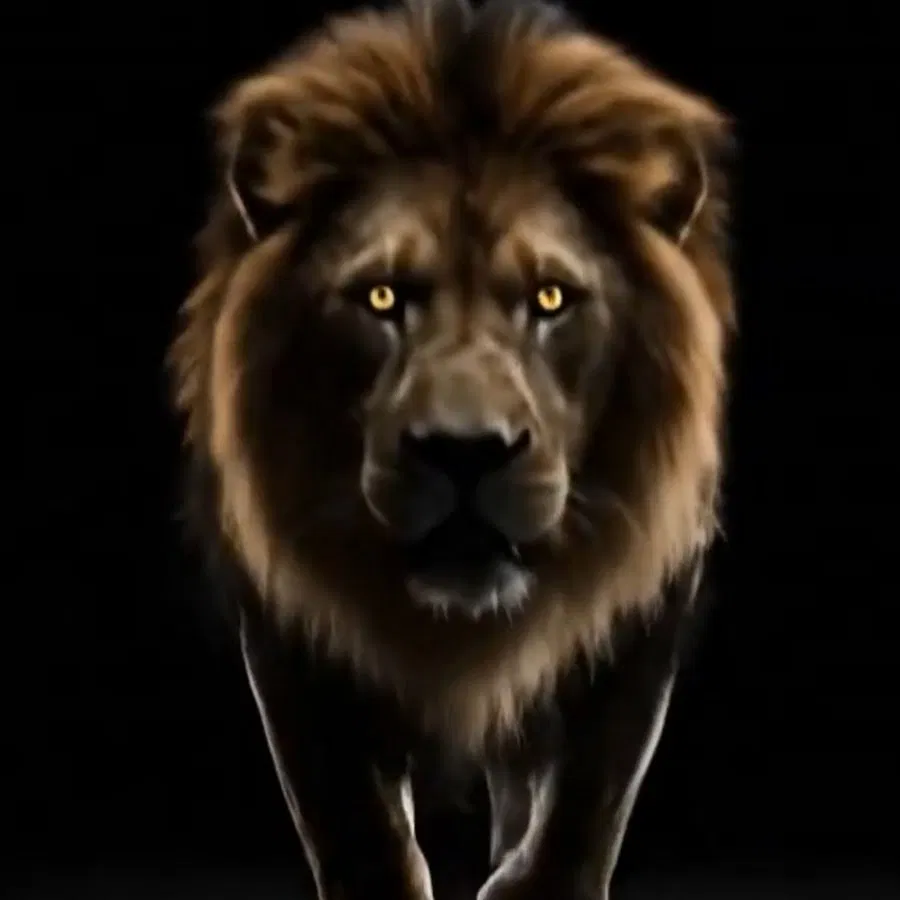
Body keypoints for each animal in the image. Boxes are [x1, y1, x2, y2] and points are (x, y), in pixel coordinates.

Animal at [168, 1, 735, 898]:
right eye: (380, 297)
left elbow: (589, 793)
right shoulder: (289, 625)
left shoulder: (643, 605)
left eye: (551, 298)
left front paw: (534, 880)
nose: (465, 451)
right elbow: (350, 817)